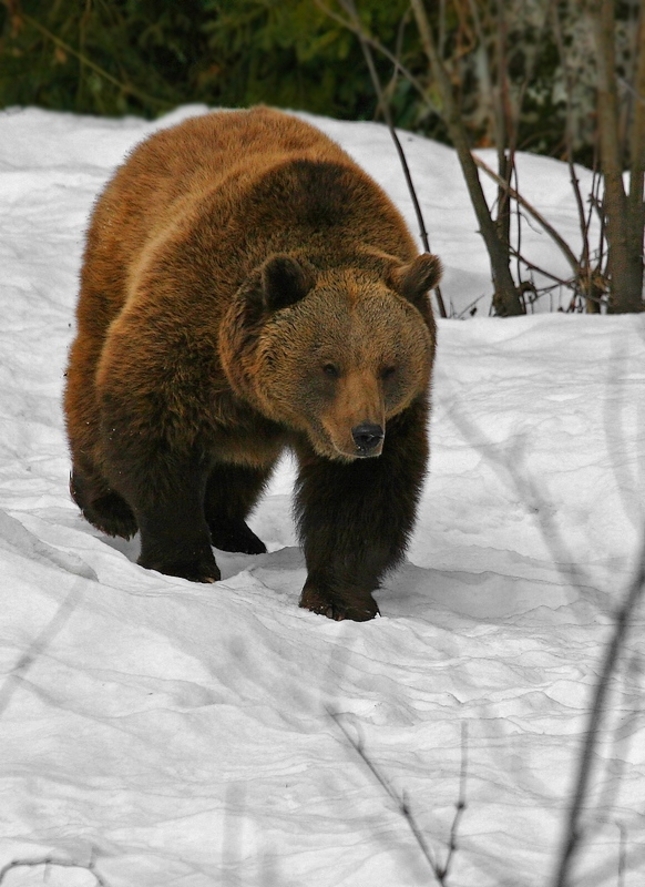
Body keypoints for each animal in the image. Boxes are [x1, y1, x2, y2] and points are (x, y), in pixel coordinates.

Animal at [64, 109, 438, 624]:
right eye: (329, 366)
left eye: (389, 366)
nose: (364, 434)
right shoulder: (192, 327)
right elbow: (154, 430)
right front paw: (186, 563)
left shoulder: (395, 416)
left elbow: (362, 496)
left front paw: (340, 599)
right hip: (117, 262)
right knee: (89, 376)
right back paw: (106, 505)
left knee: (240, 460)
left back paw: (234, 528)